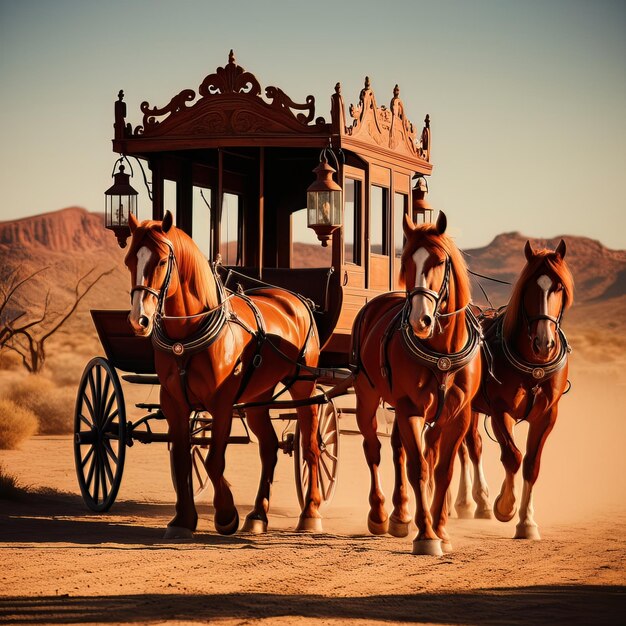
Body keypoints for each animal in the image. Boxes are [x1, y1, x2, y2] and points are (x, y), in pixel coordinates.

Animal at [125, 210, 324, 536]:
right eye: (130, 259)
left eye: (162, 261)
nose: (138, 320)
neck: (187, 335)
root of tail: (297, 300)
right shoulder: (174, 403)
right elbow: (183, 458)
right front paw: (183, 520)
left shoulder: (221, 403)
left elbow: (213, 461)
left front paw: (226, 514)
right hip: (258, 398)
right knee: (269, 447)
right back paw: (258, 514)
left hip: (304, 387)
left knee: (310, 447)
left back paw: (310, 513)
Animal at [352, 212, 478, 552]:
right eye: (406, 261)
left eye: (439, 261)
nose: (420, 320)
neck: (442, 352)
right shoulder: (411, 408)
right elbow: (419, 468)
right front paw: (426, 535)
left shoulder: (458, 415)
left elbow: (442, 470)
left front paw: (441, 530)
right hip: (366, 396)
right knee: (373, 449)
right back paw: (381, 514)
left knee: (401, 449)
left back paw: (401, 514)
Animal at [456, 239, 572, 536]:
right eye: (529, 286)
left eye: (559, 287)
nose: (544, 343)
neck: (534, 364)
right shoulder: (500, 410)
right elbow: (512, 456)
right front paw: (505, 506)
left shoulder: (548, 415)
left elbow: (531, 463)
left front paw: (528, 522)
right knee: (469, 447)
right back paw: (471, 502)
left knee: (470, 445)